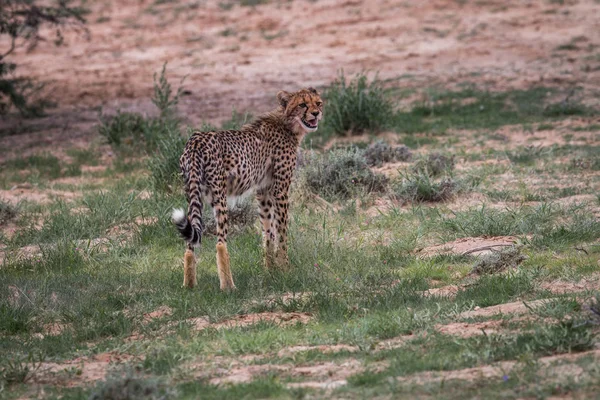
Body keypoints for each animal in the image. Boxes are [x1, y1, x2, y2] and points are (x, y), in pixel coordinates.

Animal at [172, 87, 324, 290]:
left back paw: (189, 286)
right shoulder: (281, 191)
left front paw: (270, 270)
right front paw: (285, 268)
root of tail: (196, 139)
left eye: (318, 103)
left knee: (190, 243)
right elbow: (281, 232)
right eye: (302, 105)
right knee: (220, 243)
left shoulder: (263, 191)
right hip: (219, 197)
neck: (288, 124)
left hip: (193, 195)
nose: (316, 113)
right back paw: (228, 287)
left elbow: (268, 232)